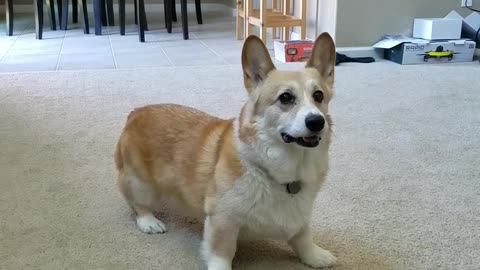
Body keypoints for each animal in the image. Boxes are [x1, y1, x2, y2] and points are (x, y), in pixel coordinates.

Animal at [114, 32, 338, 268]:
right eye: (285, 97)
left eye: (319, 96)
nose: (317, 122)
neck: (286, 171)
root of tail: (136, 112)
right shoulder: (223, 220)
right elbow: (222, 252)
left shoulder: (300, 216)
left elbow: (303, 237)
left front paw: (316, 256)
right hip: (140, 184)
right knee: (138, 205)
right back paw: (150, 222)